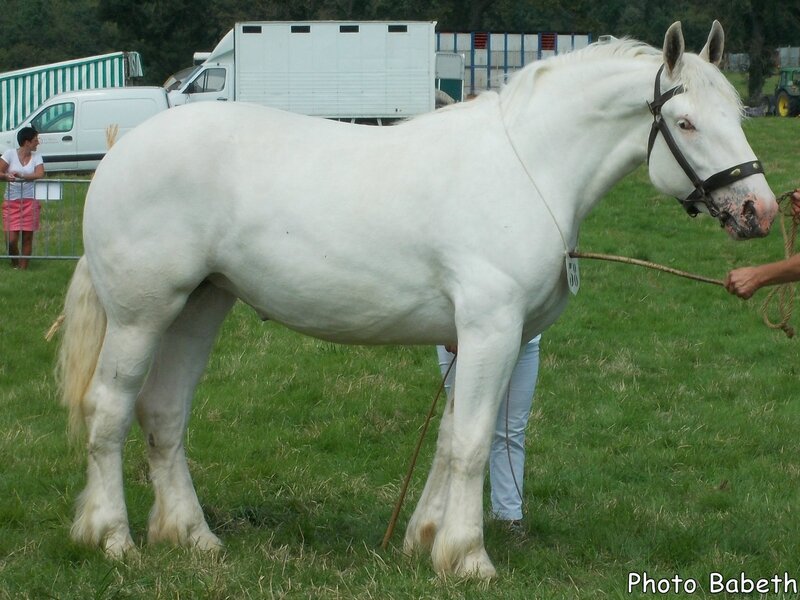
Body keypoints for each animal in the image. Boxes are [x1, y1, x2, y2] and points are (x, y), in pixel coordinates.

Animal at [59, 21, 780, 580]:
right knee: (109, 410)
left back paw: (192, 536)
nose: (760, 210)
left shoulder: (472, 337)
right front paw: (470, 558)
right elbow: (473, 442)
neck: (530, 167)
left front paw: (427, 542)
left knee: (164, 413)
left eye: (737, 114)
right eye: (685, 121)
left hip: (200, 307)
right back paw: (112, 538)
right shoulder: (491, 329)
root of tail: (121, 149)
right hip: (142, 316)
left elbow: (450, 436)